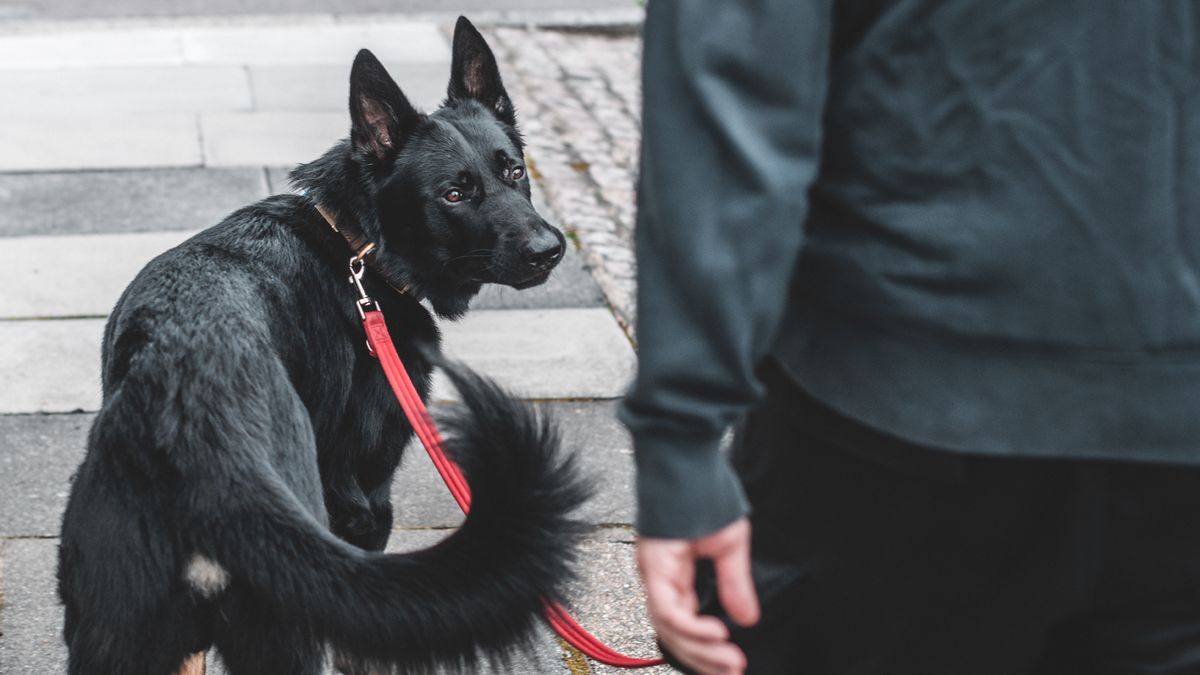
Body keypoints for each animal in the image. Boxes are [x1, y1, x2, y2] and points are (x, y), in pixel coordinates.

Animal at [57, 15, 590, 672]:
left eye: (514, 170)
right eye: (454, 194)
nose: (551, 249)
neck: (356, 243)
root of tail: (196, 430)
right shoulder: (365, 504)